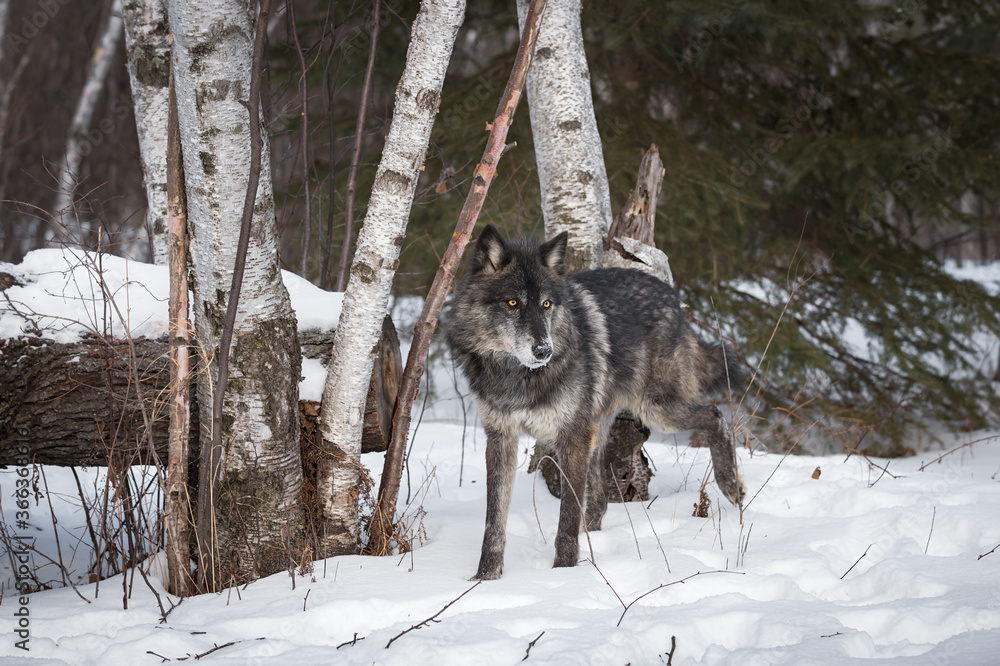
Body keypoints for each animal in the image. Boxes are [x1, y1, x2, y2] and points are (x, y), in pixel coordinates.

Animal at [447, 224, 747, 580]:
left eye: (546, 304)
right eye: (512, 302)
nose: (544, 351)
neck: (518, 377)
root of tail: (673, 297)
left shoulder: (571, 437)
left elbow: (566, 518)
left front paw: (563, 573)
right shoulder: (501, 439)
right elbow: (494, 520)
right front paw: (485, 578)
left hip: (656, 410)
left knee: (715, 414)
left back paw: (732, 486)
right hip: (601, 428)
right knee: (600, 498)